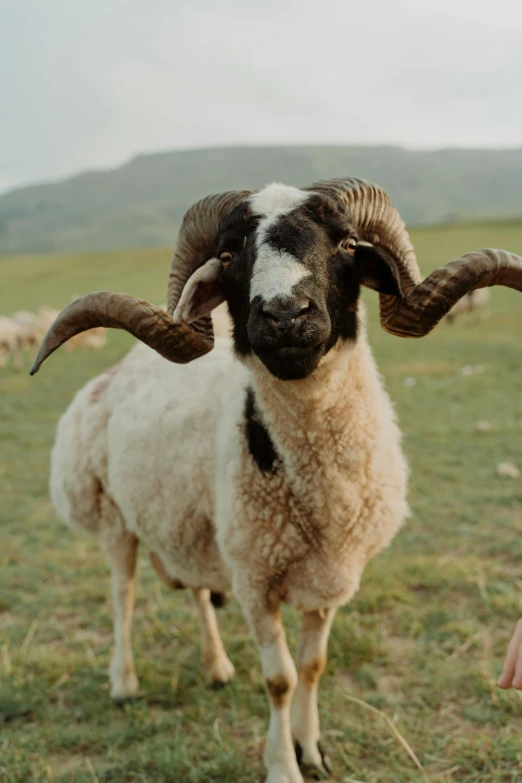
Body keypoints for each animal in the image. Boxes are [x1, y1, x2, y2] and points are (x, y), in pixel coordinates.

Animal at [31, 179, 520, 783]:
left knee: (196, 588)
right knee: (122, 594)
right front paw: (283, 765)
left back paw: (216, 667)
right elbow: (280, 679)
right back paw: (124, 683)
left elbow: (312, 666)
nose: (285, 314)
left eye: (347, 244)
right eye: (227, 255)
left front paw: (313, 748)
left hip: (194, 524)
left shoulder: (330, 579)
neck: (318, 491)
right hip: (113, 519)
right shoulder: (255, 581)